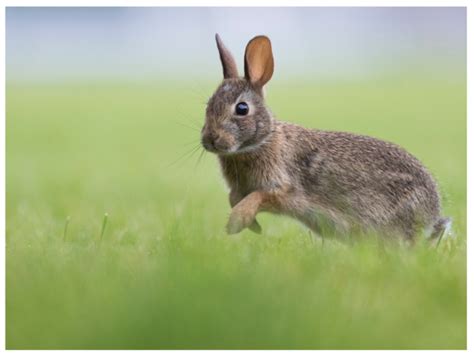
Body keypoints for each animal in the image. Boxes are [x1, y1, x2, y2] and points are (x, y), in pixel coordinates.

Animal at [201, 33, 452, 243]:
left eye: (242, 109)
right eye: (208, 105)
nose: (210, 139)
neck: (262, 141)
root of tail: (432, 218)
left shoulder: (284, 188)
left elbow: (259, 197)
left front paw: (236, 222)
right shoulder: (241, 189)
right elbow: (233, 197)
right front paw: (252, 226)